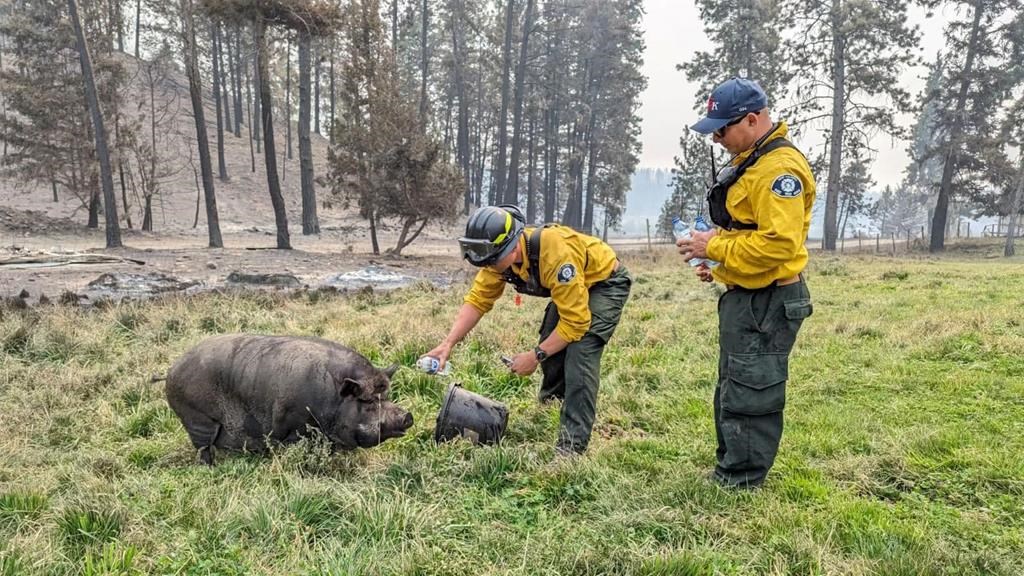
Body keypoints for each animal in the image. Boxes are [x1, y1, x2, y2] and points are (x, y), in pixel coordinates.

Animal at [164, 334, 413, 464]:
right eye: (368, 401)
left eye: (387, 396)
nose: (408, 416)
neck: (331, 399)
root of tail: (172, 370)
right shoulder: (294, 427)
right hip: (198, 418)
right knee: (203, 448)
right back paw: (210, 467)